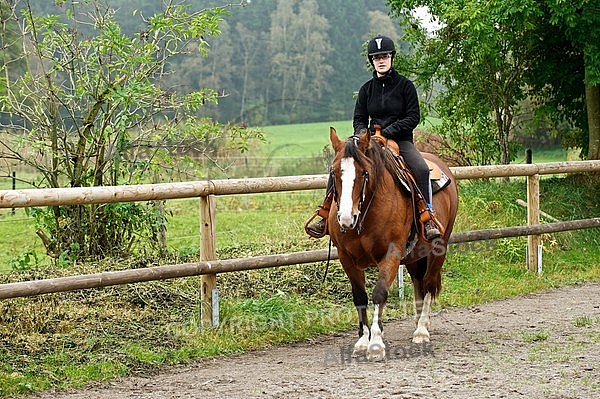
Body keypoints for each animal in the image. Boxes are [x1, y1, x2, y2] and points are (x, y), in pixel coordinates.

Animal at [326, 127, 458, 362]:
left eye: (364, 173)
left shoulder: (391, 255)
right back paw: (418, 321)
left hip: (438, 249)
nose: (347, 219)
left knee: (428, 284)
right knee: (418, 281)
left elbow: (379, 293)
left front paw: (376, 343)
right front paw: (362, 340)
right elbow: (359, 296)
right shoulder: (346, 258)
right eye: (334, 172)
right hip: (415, 255)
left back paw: (421, 330)